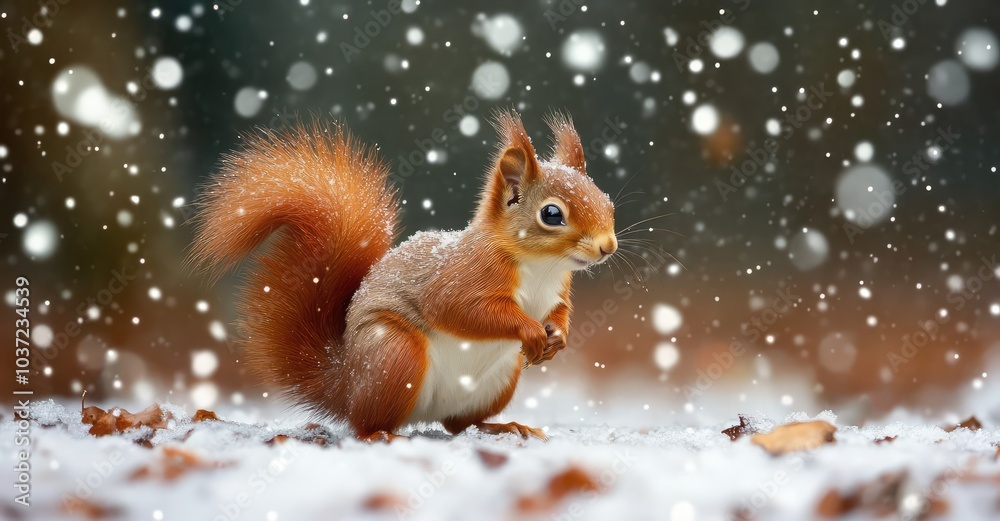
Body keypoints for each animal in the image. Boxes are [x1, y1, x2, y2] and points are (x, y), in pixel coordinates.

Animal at [188, 110, 617, 442]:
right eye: (551, 214)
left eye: (605, 199)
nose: (607, 246)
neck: (541, 267)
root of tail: (344, 384)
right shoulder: (466, 274)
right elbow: (458, 308)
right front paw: (530, 331)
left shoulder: (559, 290)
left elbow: (560, 312)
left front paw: (558, 337)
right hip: (394, 353)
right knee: (365, 423)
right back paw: (381, 434)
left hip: (496, 381)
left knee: (459, 425)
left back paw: (504, 427)